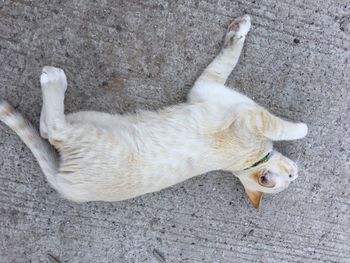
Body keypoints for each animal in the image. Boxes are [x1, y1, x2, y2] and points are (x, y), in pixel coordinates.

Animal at [0, 14, 306, 208]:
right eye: (289, 179)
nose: (297, 174)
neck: (245, 163)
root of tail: (62, 184)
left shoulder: (211, 91)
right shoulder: (228, 102)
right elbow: (232, 60)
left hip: (88, 124)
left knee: (49, 129)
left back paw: (53, 82)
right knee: (50, 128)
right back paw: (55, 82)